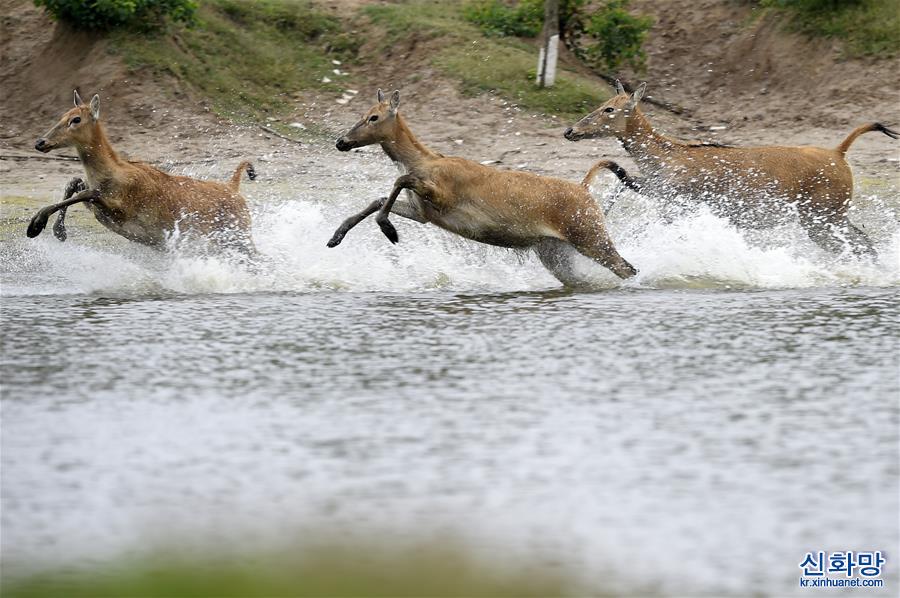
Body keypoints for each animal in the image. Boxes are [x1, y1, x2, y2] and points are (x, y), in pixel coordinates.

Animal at [29, 91, 255, 255]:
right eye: (62, 116)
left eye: (76, 119)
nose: (40, 142)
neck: (112, 173)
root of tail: (234, 186)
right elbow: (75, 182)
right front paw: (57, 231)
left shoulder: (123, 210)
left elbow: (87, 192)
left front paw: (36, 225)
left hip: (239, 234)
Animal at [326, 89, 636, 284]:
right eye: (363, 113)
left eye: (374, 117)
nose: (341, 142)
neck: (423, 162)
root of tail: (585, 190)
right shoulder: (423, 212)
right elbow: (380, 198)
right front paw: (335, 237)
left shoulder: (443, 196)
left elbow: (398, 181)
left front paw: (389, 231)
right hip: (555, 250)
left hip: (589, 235)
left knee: (627, 268)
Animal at [564, 80, 892, 255]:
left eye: (609, 108)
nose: (570, 130)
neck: (664, 155)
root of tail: (840, 153)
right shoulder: (660, 191)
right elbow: (620, 177)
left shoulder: (676, 202)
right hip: (830, 217)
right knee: (863, 241)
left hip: (821, 218)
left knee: (859, 245)